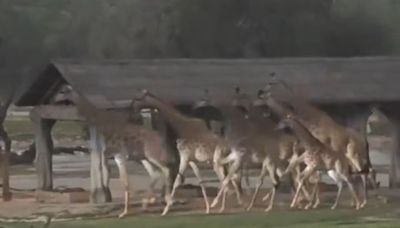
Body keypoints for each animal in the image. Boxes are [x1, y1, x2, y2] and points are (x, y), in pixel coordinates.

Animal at [56, 85, 177, 217]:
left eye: (63, 91)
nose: (55, 99)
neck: (106, 126)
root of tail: (163, 140)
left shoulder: (120, 155)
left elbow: (124, 181)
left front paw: (124, 212)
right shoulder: (116, 157)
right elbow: (123, 180)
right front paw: (129, 209)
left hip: (153, 155)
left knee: (165, 170)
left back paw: (166, 206)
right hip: (144, 158)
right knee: (156, 173)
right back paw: (150, 203)